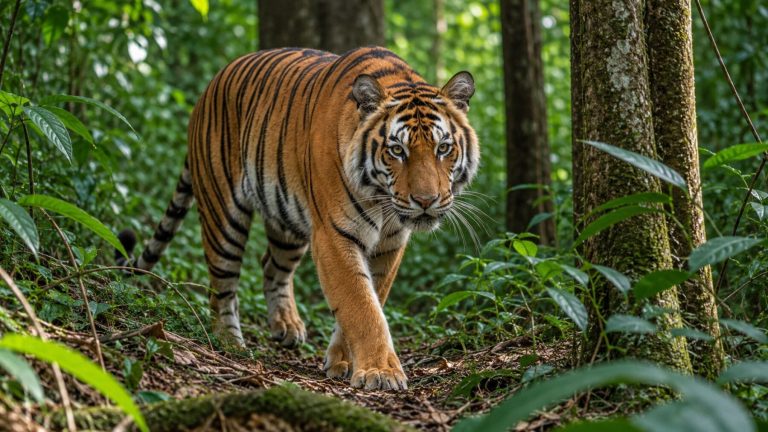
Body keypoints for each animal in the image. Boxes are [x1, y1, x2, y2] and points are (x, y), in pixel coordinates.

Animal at [117, 46, 479, 391]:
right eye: (397, 151)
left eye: (443, 148)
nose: (426, 201)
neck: (382, 201)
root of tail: (209, 87)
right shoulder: (334, 235)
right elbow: (361, 305)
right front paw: (381, 372)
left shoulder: (390, 243)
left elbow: (370, 297)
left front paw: (342, 361)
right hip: (223, 214)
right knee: (221, 285)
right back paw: (229, 342)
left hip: (287, 223)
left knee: (270, 265)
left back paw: (286, 326)